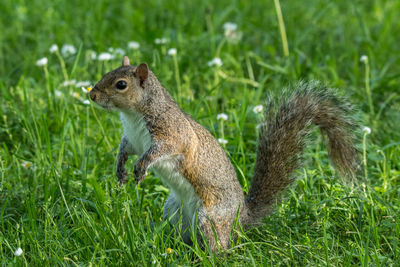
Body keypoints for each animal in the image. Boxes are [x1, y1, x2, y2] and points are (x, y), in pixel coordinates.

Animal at [90, 55, 360, 252]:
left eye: (121, 85)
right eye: (106, 74)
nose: (91, 95)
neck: (133, 114)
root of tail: (242, 219)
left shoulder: (172, 134)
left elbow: (160, 151)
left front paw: (142, 167)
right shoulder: (133, 138)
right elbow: (125, 150)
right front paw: (120, 169)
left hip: (210, 218)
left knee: (219, 247)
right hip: (175, 212)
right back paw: (170, 247)